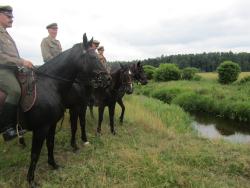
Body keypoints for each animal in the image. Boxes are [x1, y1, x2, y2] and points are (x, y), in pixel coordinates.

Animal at [1, 33, 109, 185]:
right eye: (93, 57)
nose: (108, 78)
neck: (50, 84)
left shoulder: (54, 122)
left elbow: (52, 143)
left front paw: (54, 165)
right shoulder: (44, 127)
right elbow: (35, 153)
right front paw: (31, 180)